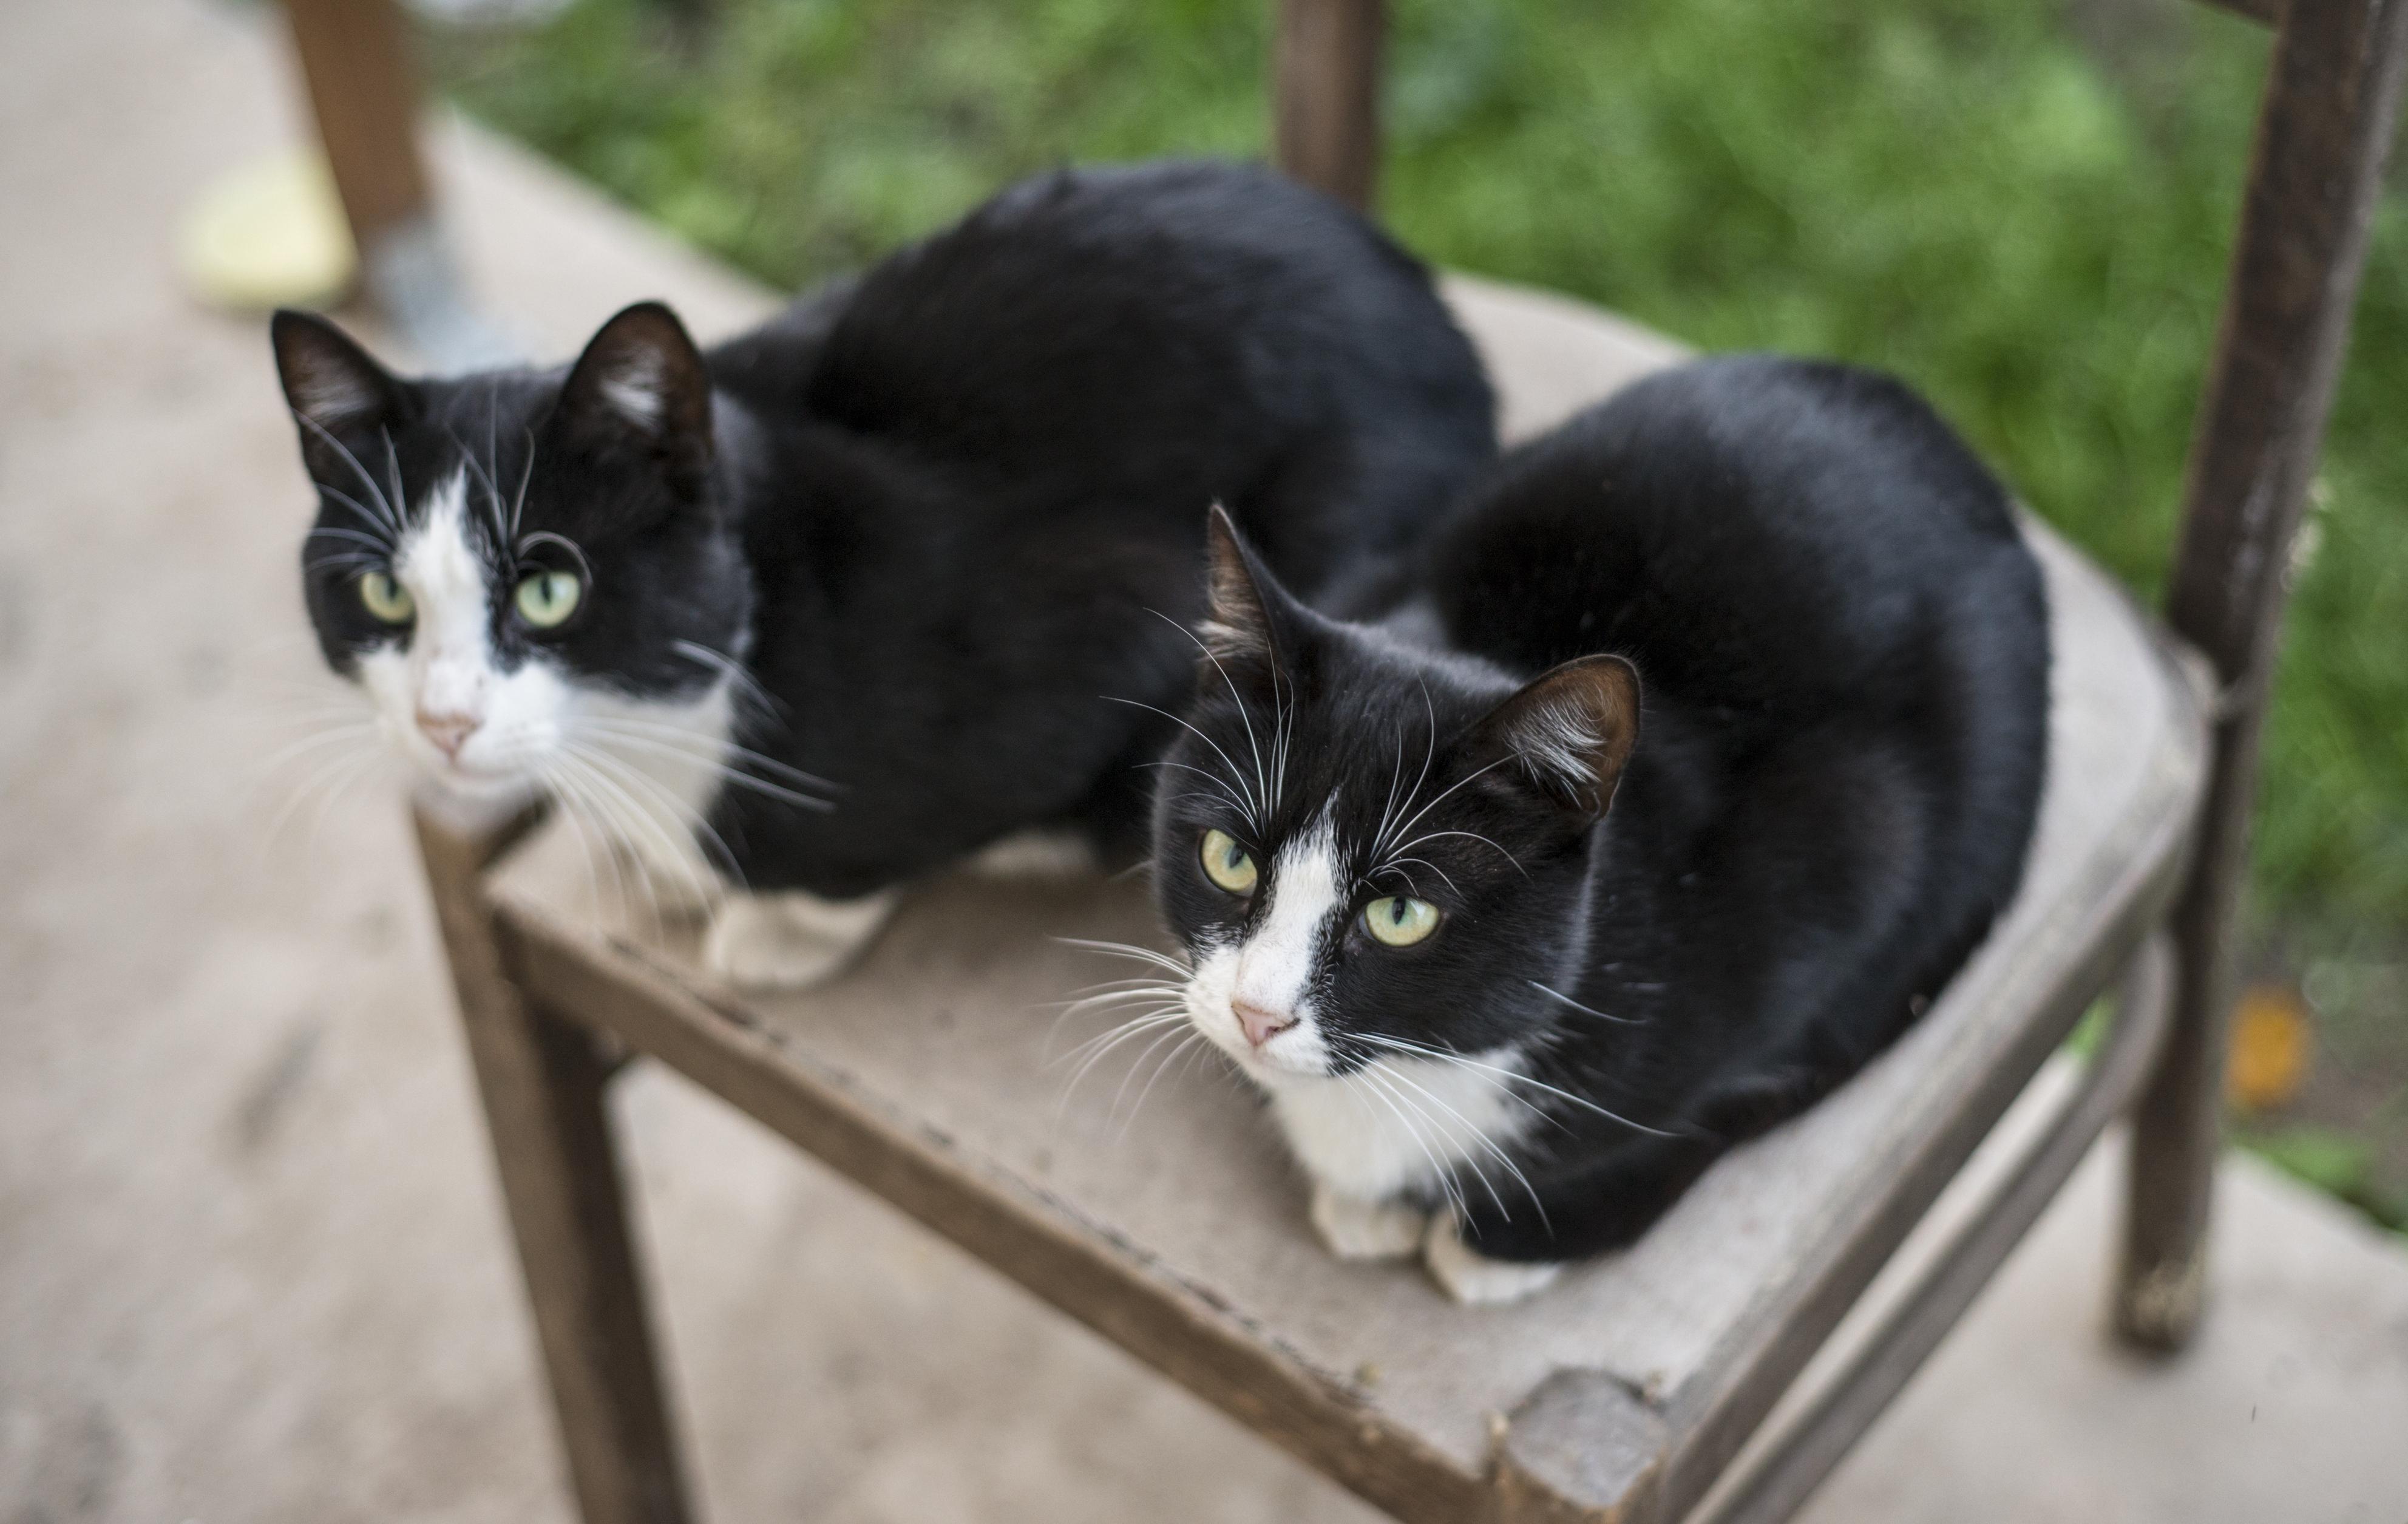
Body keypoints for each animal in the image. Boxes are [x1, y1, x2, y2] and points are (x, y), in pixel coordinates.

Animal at [277, 160, 1483, 982]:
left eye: (547, 590)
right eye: (382, 593)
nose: (441, 723)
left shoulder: (1108, 622)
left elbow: (887, 843)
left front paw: (782, 928)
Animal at [1151, 356, 2051, 1300]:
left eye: (1398, 914)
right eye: (1229, 858)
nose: (1255, 1015)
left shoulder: (1851, 848)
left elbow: (1697, 1104)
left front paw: (1504, 1239)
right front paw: (1365, 1197)